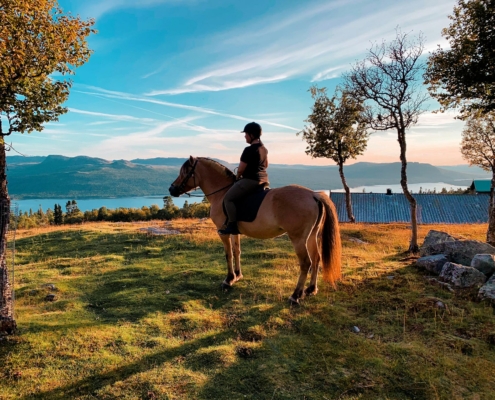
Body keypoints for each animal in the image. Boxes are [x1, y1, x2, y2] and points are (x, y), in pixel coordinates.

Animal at [169, 156, 342, 304]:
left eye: (185, 172)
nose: (171, 189)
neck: (221, 193)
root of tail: (313, 195)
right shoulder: (234, 231)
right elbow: (237, 251)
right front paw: (237, 275)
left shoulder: (223, 232)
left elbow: (228, 254)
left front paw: (228, 280)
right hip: (312, 235)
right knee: (316, 258)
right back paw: (311, 289)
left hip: (298, 238)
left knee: (306, 263)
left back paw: (295, 296)